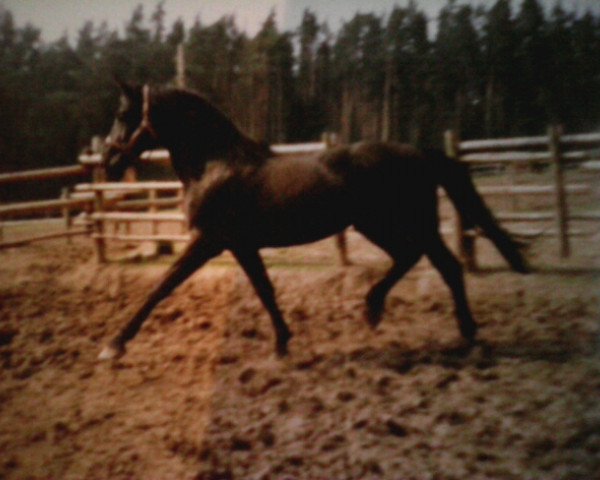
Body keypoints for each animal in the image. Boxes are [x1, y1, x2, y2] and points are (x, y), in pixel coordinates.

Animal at [99, 82, 528, 360]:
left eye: (122, 114)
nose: (108, 161)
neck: (216, 165)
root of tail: (420, 152)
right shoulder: (241, 245)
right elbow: (264, 290)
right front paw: (282, 342)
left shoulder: (209, 241)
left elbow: (163, 285)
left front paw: (115, 345)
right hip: (384, 226)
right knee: (424, 261)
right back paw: (395, 314)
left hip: (398, 225)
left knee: (443, 265)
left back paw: (440, 325)